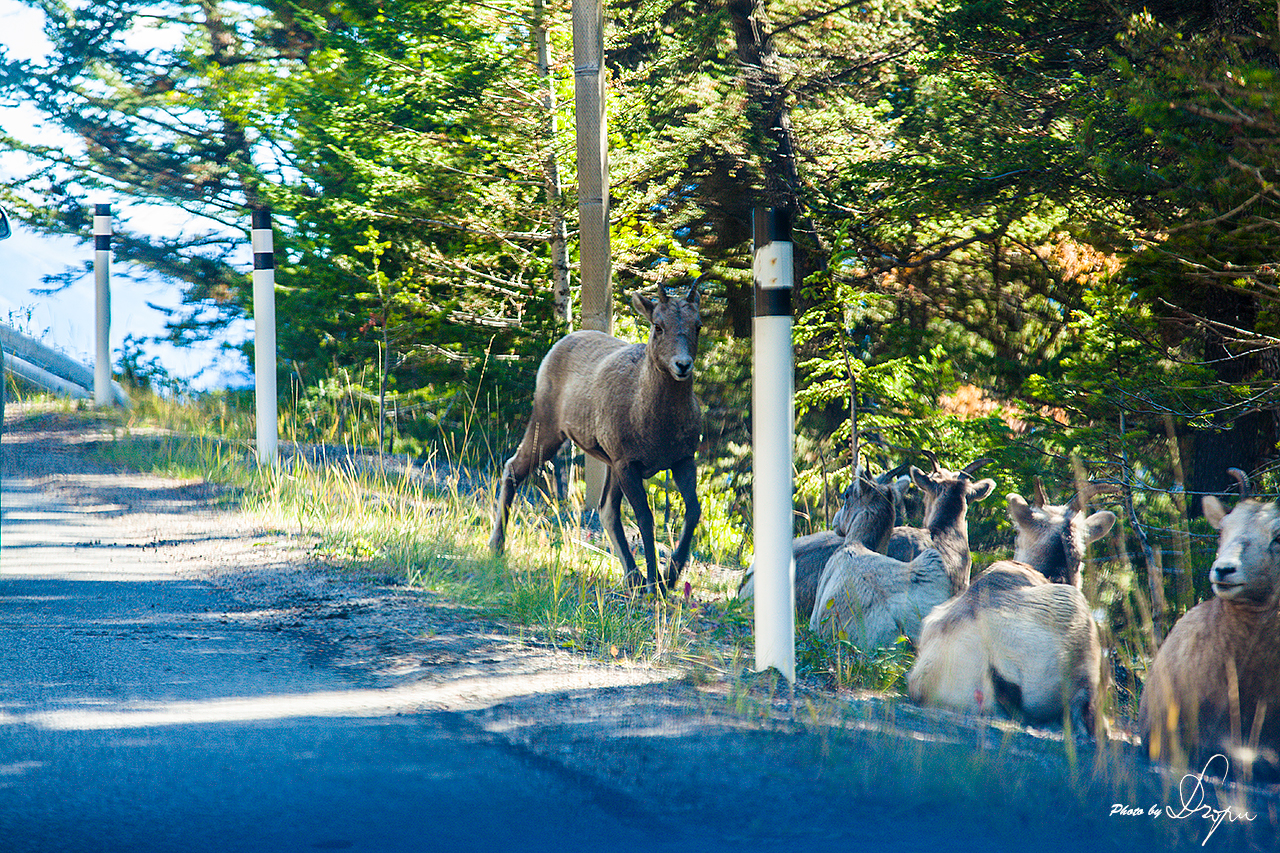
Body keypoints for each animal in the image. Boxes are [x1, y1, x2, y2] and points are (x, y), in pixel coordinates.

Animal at [491, 281, 711, 589]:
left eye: (698, 325)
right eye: (658, 326)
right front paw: (654, 583)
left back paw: (632, 576)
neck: (657, 423)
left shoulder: (682, 460)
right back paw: (496, 547)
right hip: (548, 429)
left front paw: (668, 579)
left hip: (607, 464)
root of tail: (559, 345)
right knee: (514, 469)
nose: (682, 365)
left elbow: (693, 512)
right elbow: (645, 519)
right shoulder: (628, 465)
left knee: (606, 510)